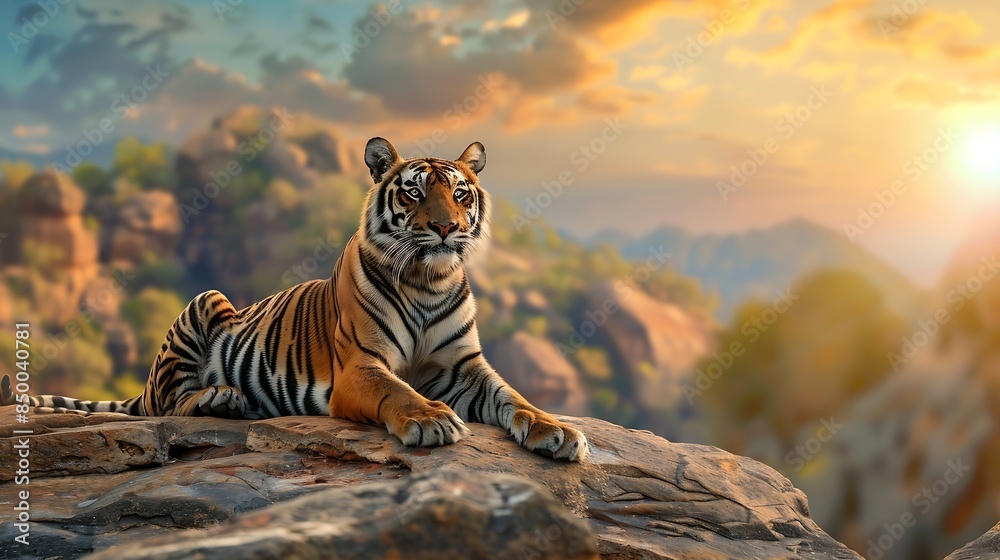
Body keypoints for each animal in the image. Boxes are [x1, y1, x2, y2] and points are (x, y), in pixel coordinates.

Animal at [0, 137, 589, 461]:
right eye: (415, 192)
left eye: (460, 193)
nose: (446, 228)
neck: (429, 279)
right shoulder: (361, 368)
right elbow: (398, 392)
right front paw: (430, 420)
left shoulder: (464, 369)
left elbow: (514, 396)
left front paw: (557, 431)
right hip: (204, 304)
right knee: (169, 405)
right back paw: (221, 398)